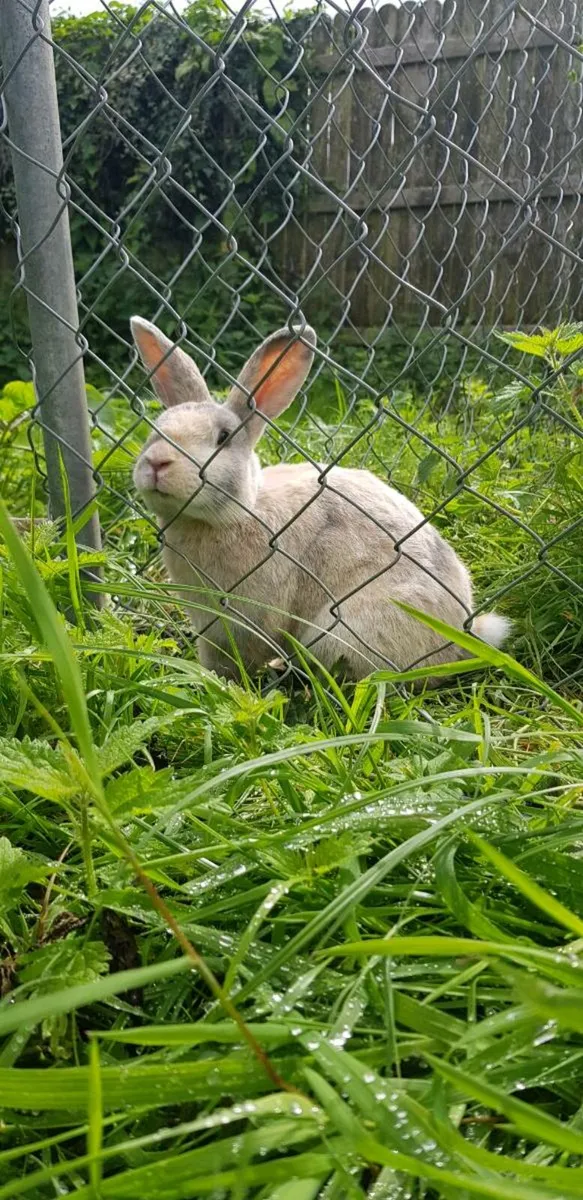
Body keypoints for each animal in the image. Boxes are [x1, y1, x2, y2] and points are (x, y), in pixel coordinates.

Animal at [131, 317, 510, 681]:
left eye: (223, 438)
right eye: (156, 429)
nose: (157, 462)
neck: (238, 512)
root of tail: (460, 638)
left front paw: (219, 681)